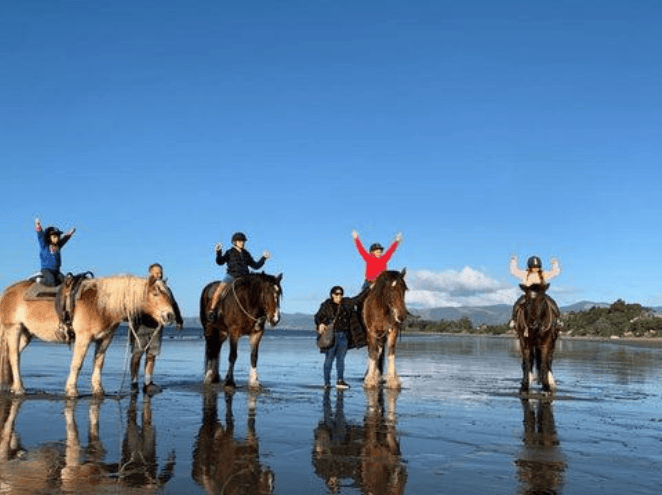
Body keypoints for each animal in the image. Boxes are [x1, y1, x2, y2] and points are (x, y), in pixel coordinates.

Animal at [0, 275, 177, 397]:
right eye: (155, 293)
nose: (170, 316)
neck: (100, 305)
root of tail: (7, 291)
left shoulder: (105, 339)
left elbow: (98, 363)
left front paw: (98, 390)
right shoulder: (83, 338)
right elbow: (77, 364)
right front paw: (72, 390)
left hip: (26, 334)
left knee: (11, 355)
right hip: (14, 329)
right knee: (14, 357)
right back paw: (19, 388)